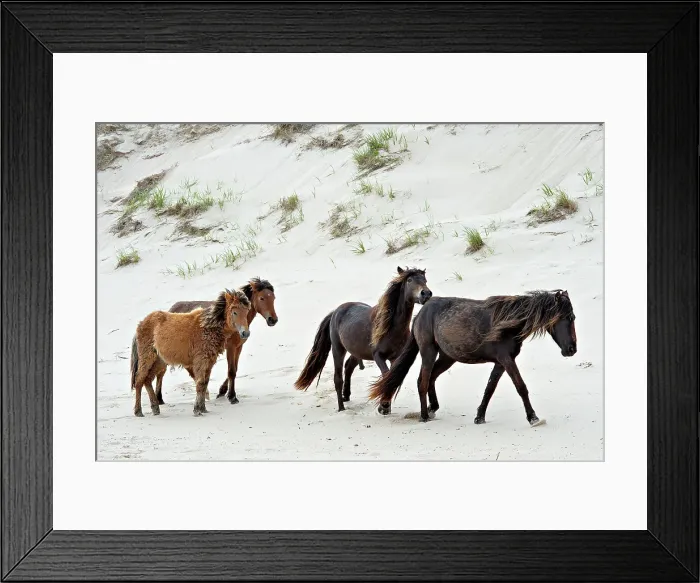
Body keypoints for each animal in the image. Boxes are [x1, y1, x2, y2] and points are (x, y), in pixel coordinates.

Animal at [294, 266, 432, 412]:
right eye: (409, 280)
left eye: (425, 280)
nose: (426, 294)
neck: (392, 328)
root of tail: (336, 311)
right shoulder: (378, 356)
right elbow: (386, 375)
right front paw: (383, 406)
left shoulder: (396, 357)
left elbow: (392, 377)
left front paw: (385, 406)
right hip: (338, 349)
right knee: (338, 378)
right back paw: (341, 407)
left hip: (356, 351)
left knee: (349, 367)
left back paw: (346, 396)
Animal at [367, 289, 577, 424]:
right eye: (569, 318)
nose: (572, 349)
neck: (508, 323)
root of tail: (420, 315)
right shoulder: (507, 360)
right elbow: (521, 387)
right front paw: (533, 418)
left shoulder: (501, 363)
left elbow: (489, 389)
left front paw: (479, 417)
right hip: (429, 352)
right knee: (423, 381)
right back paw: (424, 416)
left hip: (447, 357)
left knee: (432, 378)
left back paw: (433, 409)